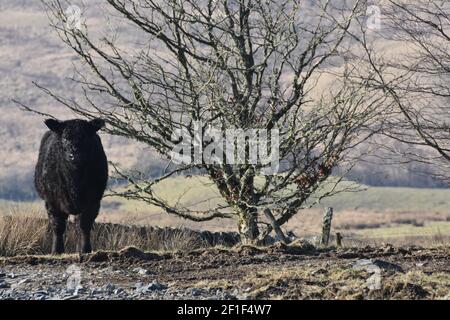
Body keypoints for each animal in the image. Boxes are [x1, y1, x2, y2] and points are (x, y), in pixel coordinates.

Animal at [34, 119, 108, 254]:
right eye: (65, 138)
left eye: (84, 137)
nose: (74, 155)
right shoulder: (52, 200)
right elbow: (58, 225)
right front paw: (57, 250)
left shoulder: (93, 200)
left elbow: (85, 225)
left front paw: (85, 249)